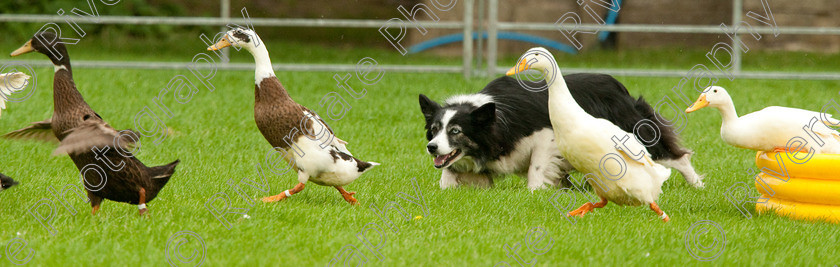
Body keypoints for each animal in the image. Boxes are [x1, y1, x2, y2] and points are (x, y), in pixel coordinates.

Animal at [420, 74, 704, 191]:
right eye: (434, 130)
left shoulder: (548, 137)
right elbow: (448, 175)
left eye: (456, 131)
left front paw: (537, 193)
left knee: (675, 156)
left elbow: (536, 170)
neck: (496, 121)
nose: (431, 147)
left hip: (631, 131)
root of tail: (618, 86)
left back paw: (697, 186)